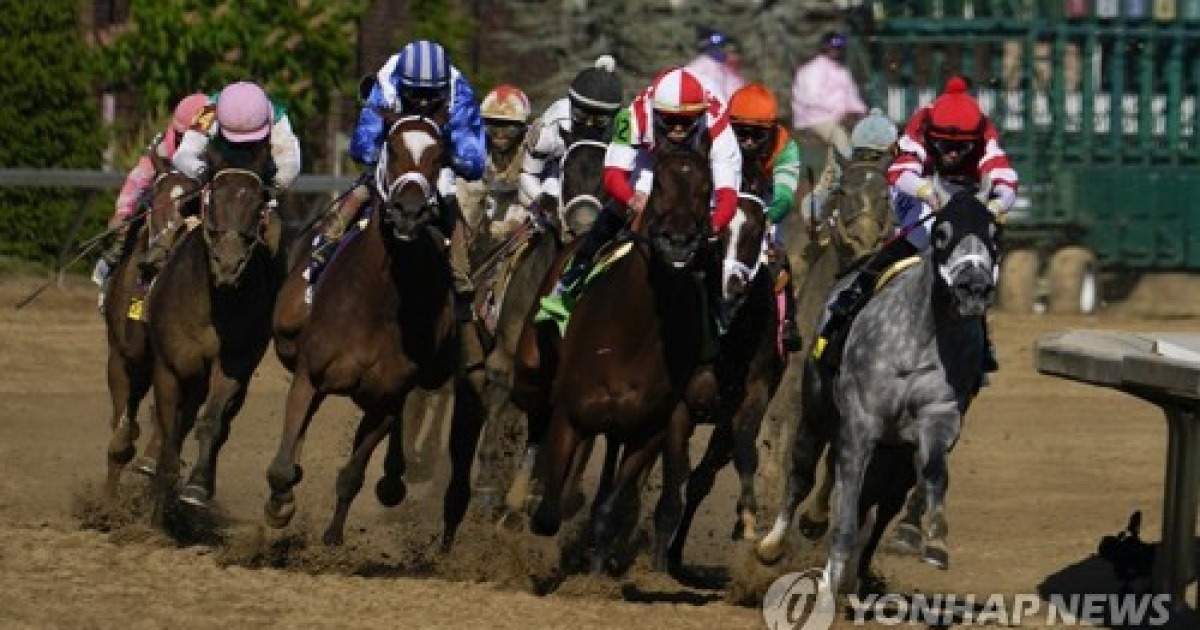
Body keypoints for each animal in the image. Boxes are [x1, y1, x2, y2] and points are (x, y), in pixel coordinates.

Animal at [103, 153, 201, 496]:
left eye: (191, 205)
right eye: (152, 200)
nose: (154, 257)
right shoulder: (120, 356)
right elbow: (121, 433)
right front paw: (107, 504)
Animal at [146, 146, 279, 520]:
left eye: (258, 203)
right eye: (214, 197)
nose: (228, 263)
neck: (213, 305)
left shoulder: (234, 364)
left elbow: (212, 421)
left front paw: (195, 487)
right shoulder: (168, 366)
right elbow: (167, 420)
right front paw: (163, 483)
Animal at [264, 114, 487, 549]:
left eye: (440, 155)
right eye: (392, 147)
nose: (408, 212)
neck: (374, 303)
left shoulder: (385, 398)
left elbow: (352, 473)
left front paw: (333, 537)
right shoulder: (310, 375)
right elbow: (282, 464)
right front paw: (279, 506)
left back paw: (395, 481)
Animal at [520, 145, 715, 571]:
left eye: (706, 188)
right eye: (658, 184)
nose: (679, 242)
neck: (633, 330)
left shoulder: (648, 428)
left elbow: (608, 506)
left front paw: (593, 566)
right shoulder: (571, 411)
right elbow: (547, 515)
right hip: (531, 367)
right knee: (533, 404)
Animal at [753, 192, 998, 595]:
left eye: (995, 234)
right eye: (942, 232)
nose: (974, 289)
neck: (919, 341)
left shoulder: (935, 423)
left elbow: (933, 473)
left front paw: (935, 542)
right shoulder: (860, 424)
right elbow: (845, 513)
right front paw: (826, 587)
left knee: (876, 502)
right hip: (817, 413)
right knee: (802, 474)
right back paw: (772, 544)